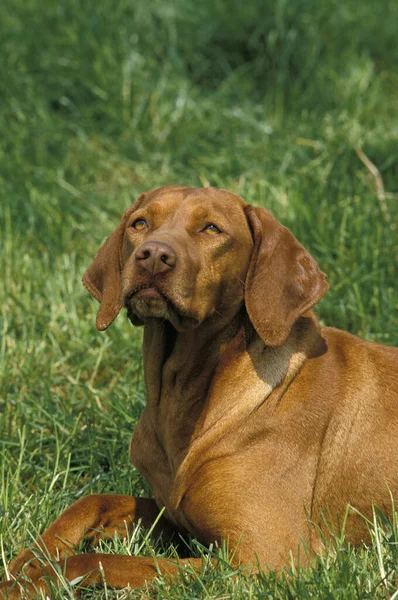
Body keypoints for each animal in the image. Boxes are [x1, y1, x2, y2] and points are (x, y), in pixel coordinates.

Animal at [0, 186, 398, 596]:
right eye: (140, 223)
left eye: (211, 229)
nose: (153, 256)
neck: (181, 399)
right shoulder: (173, 514)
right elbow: (93, 501)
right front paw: (27, 561)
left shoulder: (263, 562)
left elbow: (101, 561)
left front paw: (33, 581)